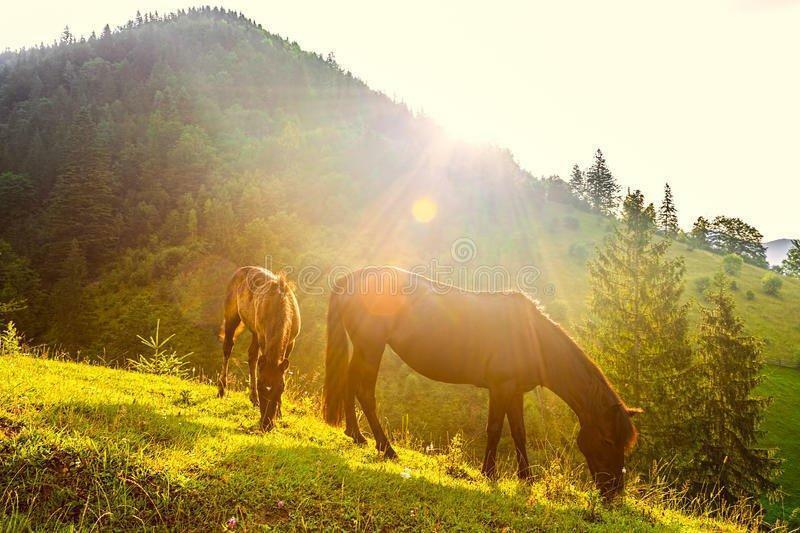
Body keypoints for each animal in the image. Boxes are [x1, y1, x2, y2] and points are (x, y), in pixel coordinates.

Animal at [219, 264, 300, 430]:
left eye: (281, 388)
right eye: (262, 386)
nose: (266, 424)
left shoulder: (291, 342)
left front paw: (279, 413)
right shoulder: (263, 338)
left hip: (255, 333)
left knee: (252, 356)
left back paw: (253, 399)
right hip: (232, 317)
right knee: (228, 347)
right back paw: (222, 389)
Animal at [324, 266, 644, 498]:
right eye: (606, 440)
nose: (613, 493)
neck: (533, 337)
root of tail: (350, 279)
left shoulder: (515, 392)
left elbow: (518, 432)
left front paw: (526, 477)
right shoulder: (500, 388)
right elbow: (494, 430)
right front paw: (489, 473)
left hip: (364, 347)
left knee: (350, 384)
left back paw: (356, 434)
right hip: (371, 346)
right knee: (365, 392)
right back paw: (386, 448)